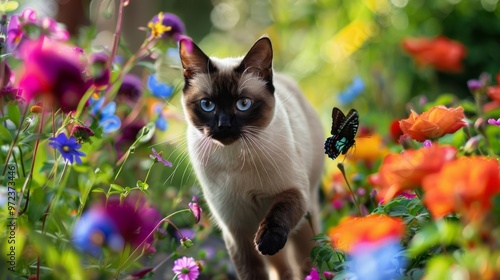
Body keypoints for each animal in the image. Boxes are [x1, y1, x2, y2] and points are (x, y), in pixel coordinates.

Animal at [179, 36, 324, 278]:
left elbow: (278, 213)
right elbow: (251, 273)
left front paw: (267, 241)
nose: (224, 125)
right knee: (283, 270)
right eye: (207, 105)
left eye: (243, 104)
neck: (236, 159)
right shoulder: (236, 232)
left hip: (306, 218)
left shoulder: (294, 191)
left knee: (306, 260)